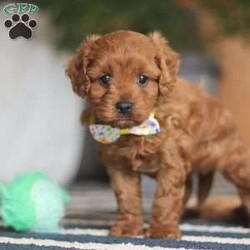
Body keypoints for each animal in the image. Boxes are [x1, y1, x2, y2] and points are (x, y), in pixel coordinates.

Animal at [66, 30, 250, 239]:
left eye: (143, 79)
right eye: (105, 78)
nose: (124, 106)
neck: (137, 129)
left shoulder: (171, 163)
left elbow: (166, 197)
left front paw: (162, 229)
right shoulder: (119, 166)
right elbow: (127, 198)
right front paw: (128, 227)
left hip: (234, 161)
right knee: (188, 190)